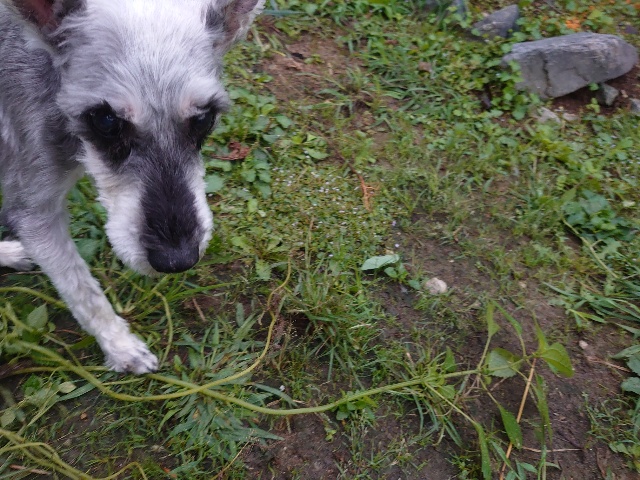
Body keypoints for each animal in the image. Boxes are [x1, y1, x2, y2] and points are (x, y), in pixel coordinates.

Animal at [0, 0, 264, 373]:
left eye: (204, 118)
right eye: (106, 120)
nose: (176, 260)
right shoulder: (34, 210)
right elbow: (82, 289)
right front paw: (121, 347)